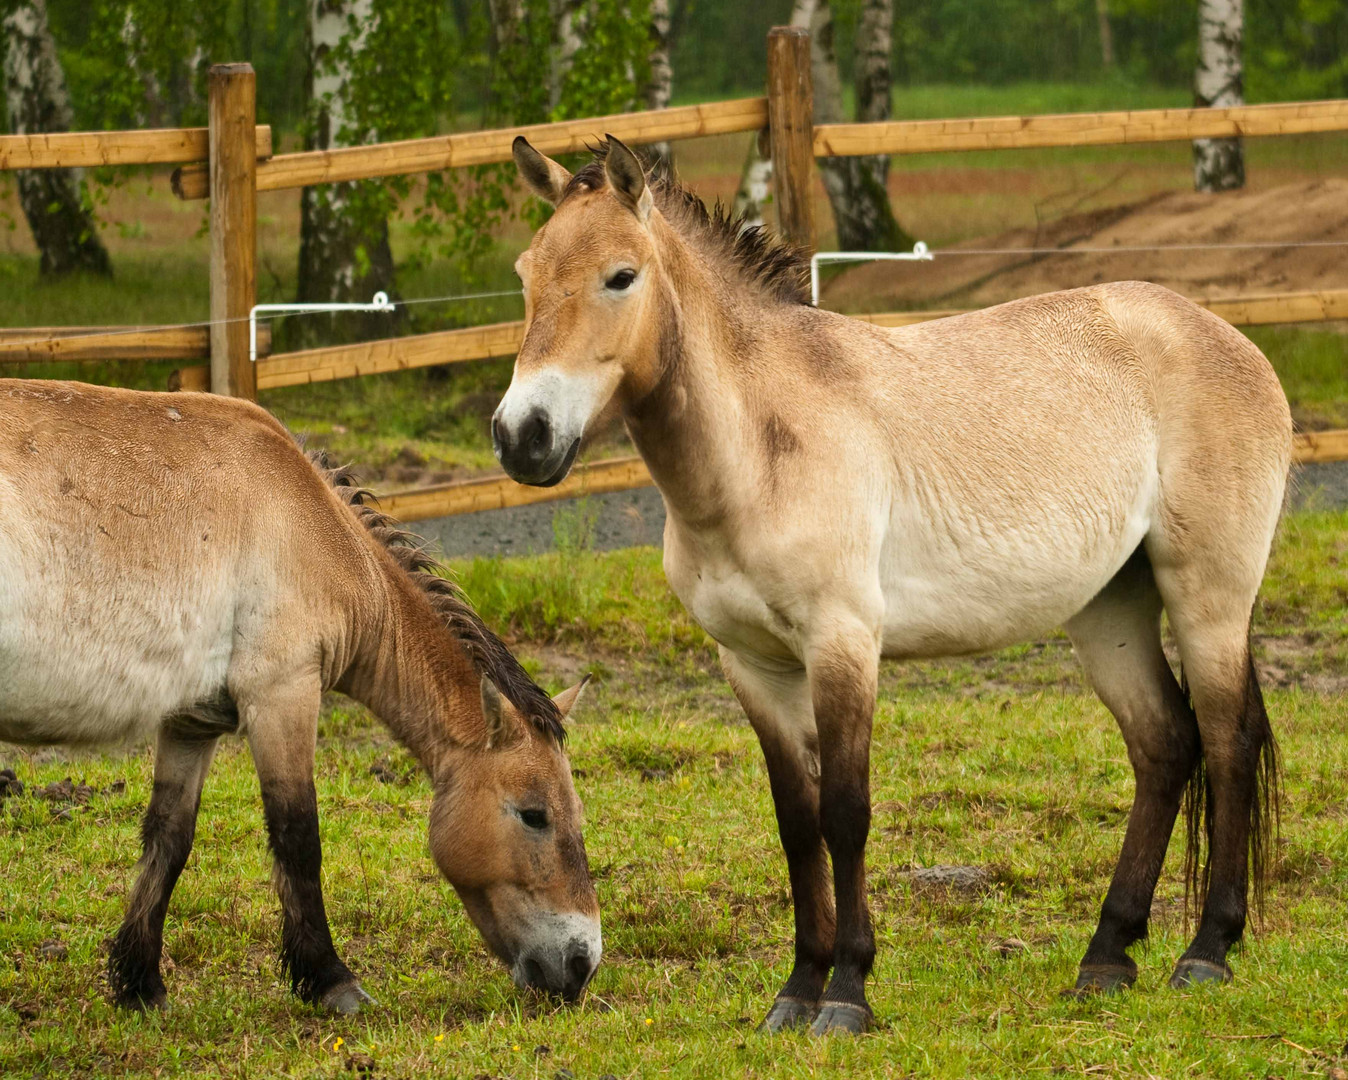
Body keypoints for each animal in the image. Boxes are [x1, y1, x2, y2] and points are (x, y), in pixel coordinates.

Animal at [0, 380, 601, 1013]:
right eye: (534, 815)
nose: (580, 964)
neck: (310, 525)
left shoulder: (191, 723)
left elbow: (168, 838)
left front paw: (140, 985)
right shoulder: (283, 694)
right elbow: (298, 836)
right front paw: (331, 979)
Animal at [493, 138, 1283, 1030]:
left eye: (620, 276)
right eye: (526, 274)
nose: (522, 437)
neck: (760, 446)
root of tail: (1224, 335)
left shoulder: (843, 645)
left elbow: (846, 813)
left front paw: (846, 994)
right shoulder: (754, 667)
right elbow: (796, 823)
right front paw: (795, 992)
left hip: (1208, 601)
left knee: (1226, 742)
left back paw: (1206, 951)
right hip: (1107, 613)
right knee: (1165, 745)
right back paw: (1107, 956)